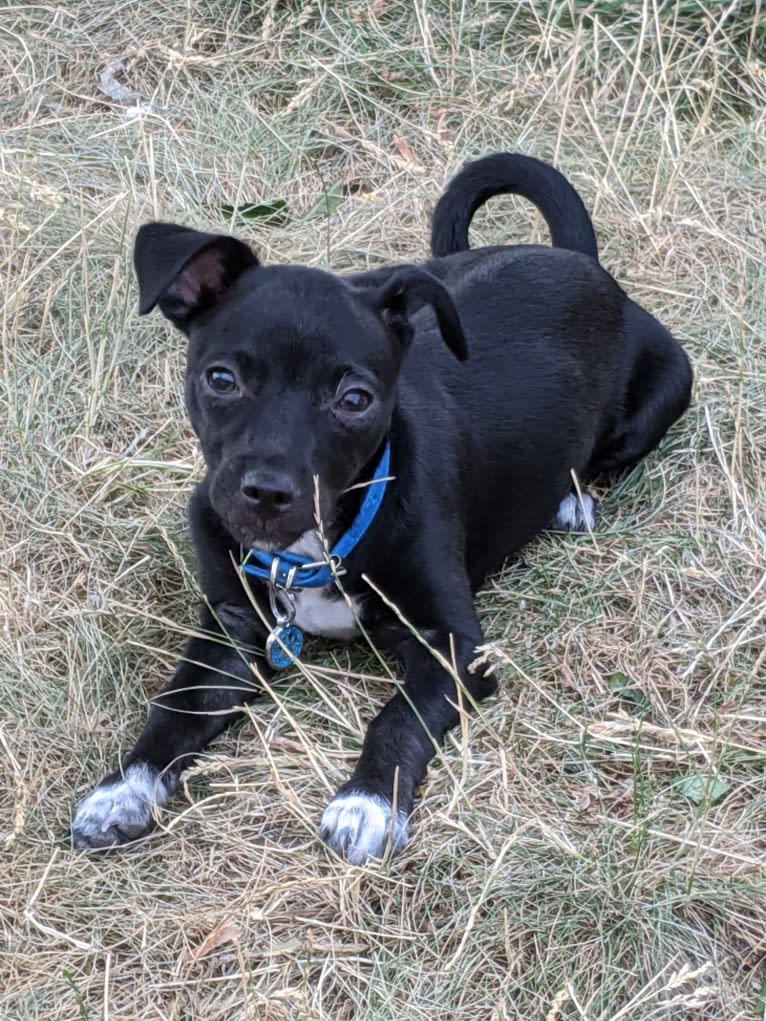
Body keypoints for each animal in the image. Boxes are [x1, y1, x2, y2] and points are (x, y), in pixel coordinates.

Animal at [70, 151, 694, 861]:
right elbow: (174, 709)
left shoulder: (457, 648)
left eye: (355, 400)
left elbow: (398, 716)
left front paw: (365, 803)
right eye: (221, 379)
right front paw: (122, 788)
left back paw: (572, 502)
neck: (310, 551)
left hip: (663, 394)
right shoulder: (231, 630)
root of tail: (580, 261)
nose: (267, 494)